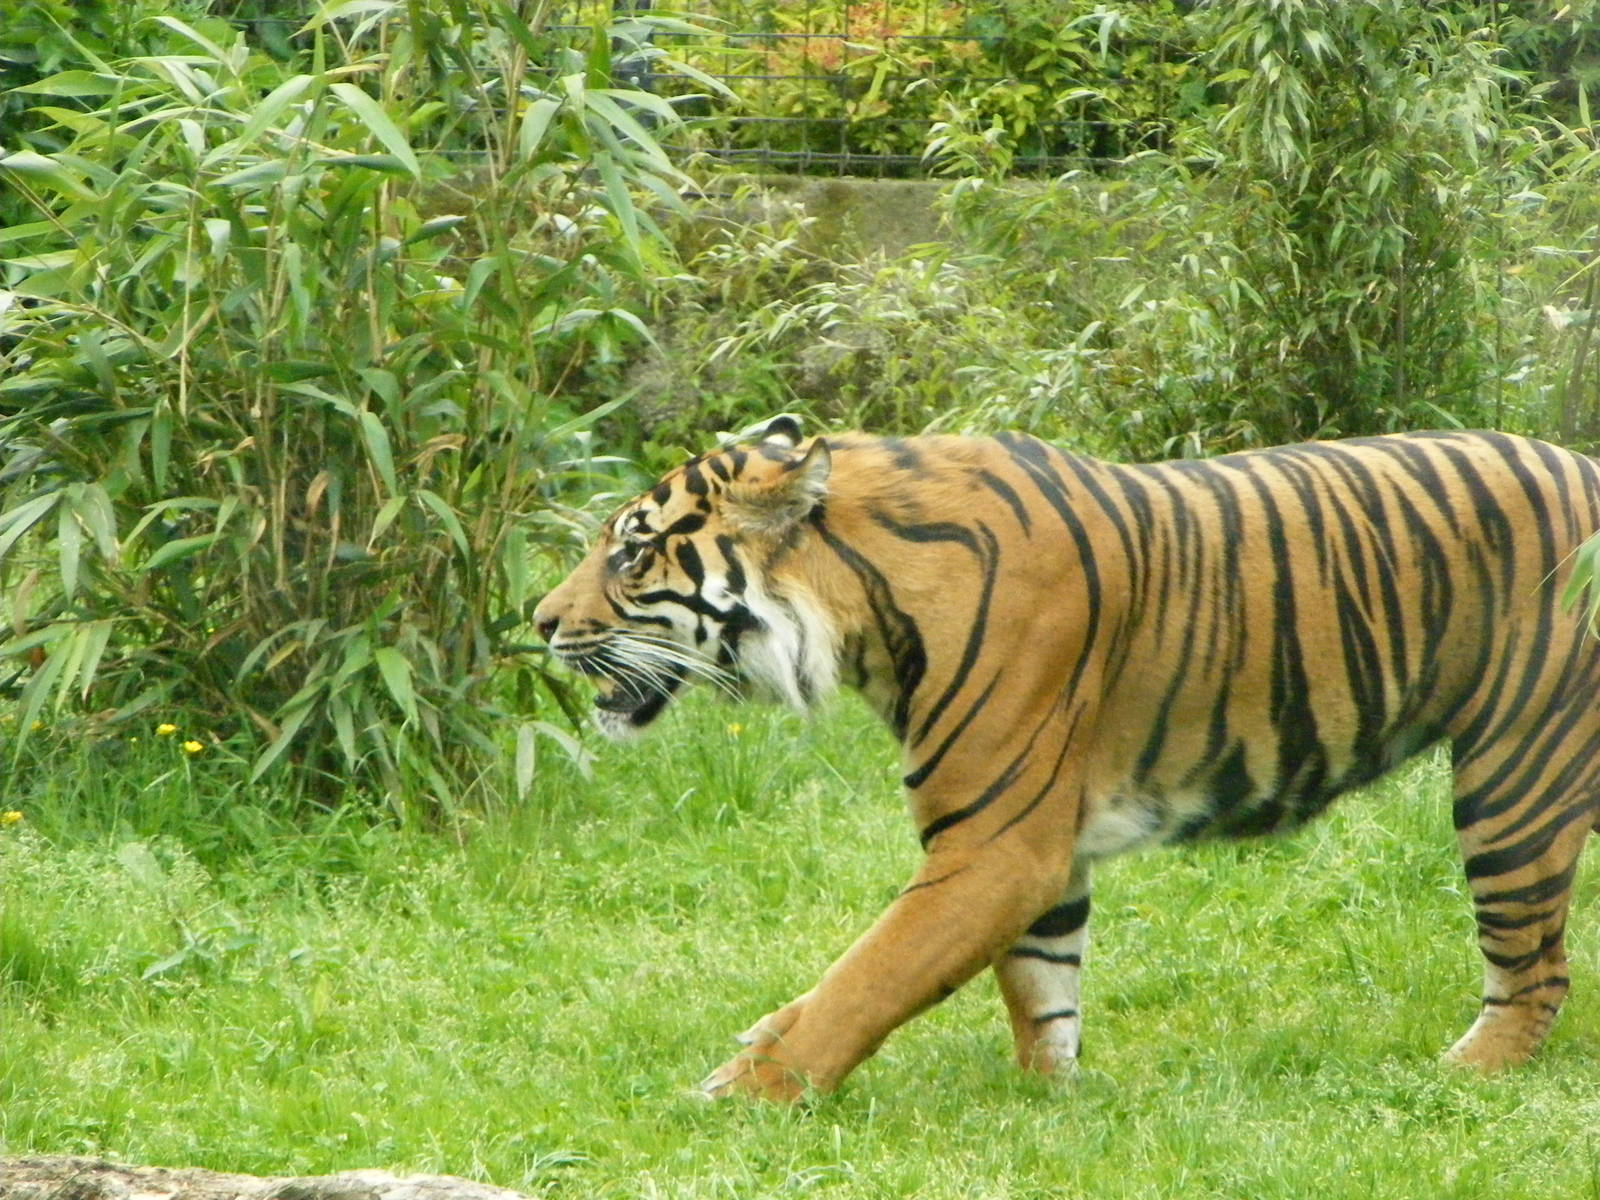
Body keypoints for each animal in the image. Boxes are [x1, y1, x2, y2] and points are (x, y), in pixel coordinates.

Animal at [532, 416, 1600, 1102]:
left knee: (1535, 970)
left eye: (629, 555)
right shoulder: (1033, 846)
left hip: (1514, 778)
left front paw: (743, 1095)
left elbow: (868, 979)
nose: (538, 623)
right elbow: (1039, 983)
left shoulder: (995, 844)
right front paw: (1050, 1099)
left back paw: (1457, 1076)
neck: (864, 611)